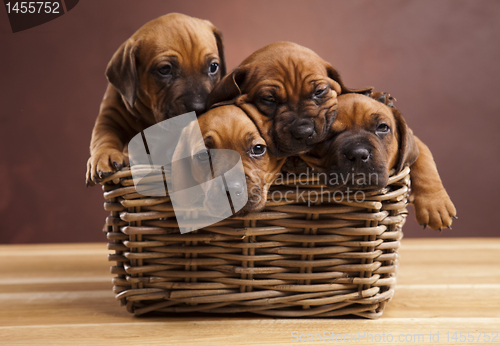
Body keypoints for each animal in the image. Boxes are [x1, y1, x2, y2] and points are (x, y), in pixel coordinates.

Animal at [87, 12, 226, 187]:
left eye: (213, 67)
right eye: (165, 69)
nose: (199, 108)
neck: (152, 119)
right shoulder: (110, 115)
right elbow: (103, 136)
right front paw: (105, 155)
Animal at [300, 93, 458, 231]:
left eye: (382, 127)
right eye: (327, 133)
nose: (358, 154)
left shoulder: (414, 141)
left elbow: (425, 159)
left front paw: (435, 205)